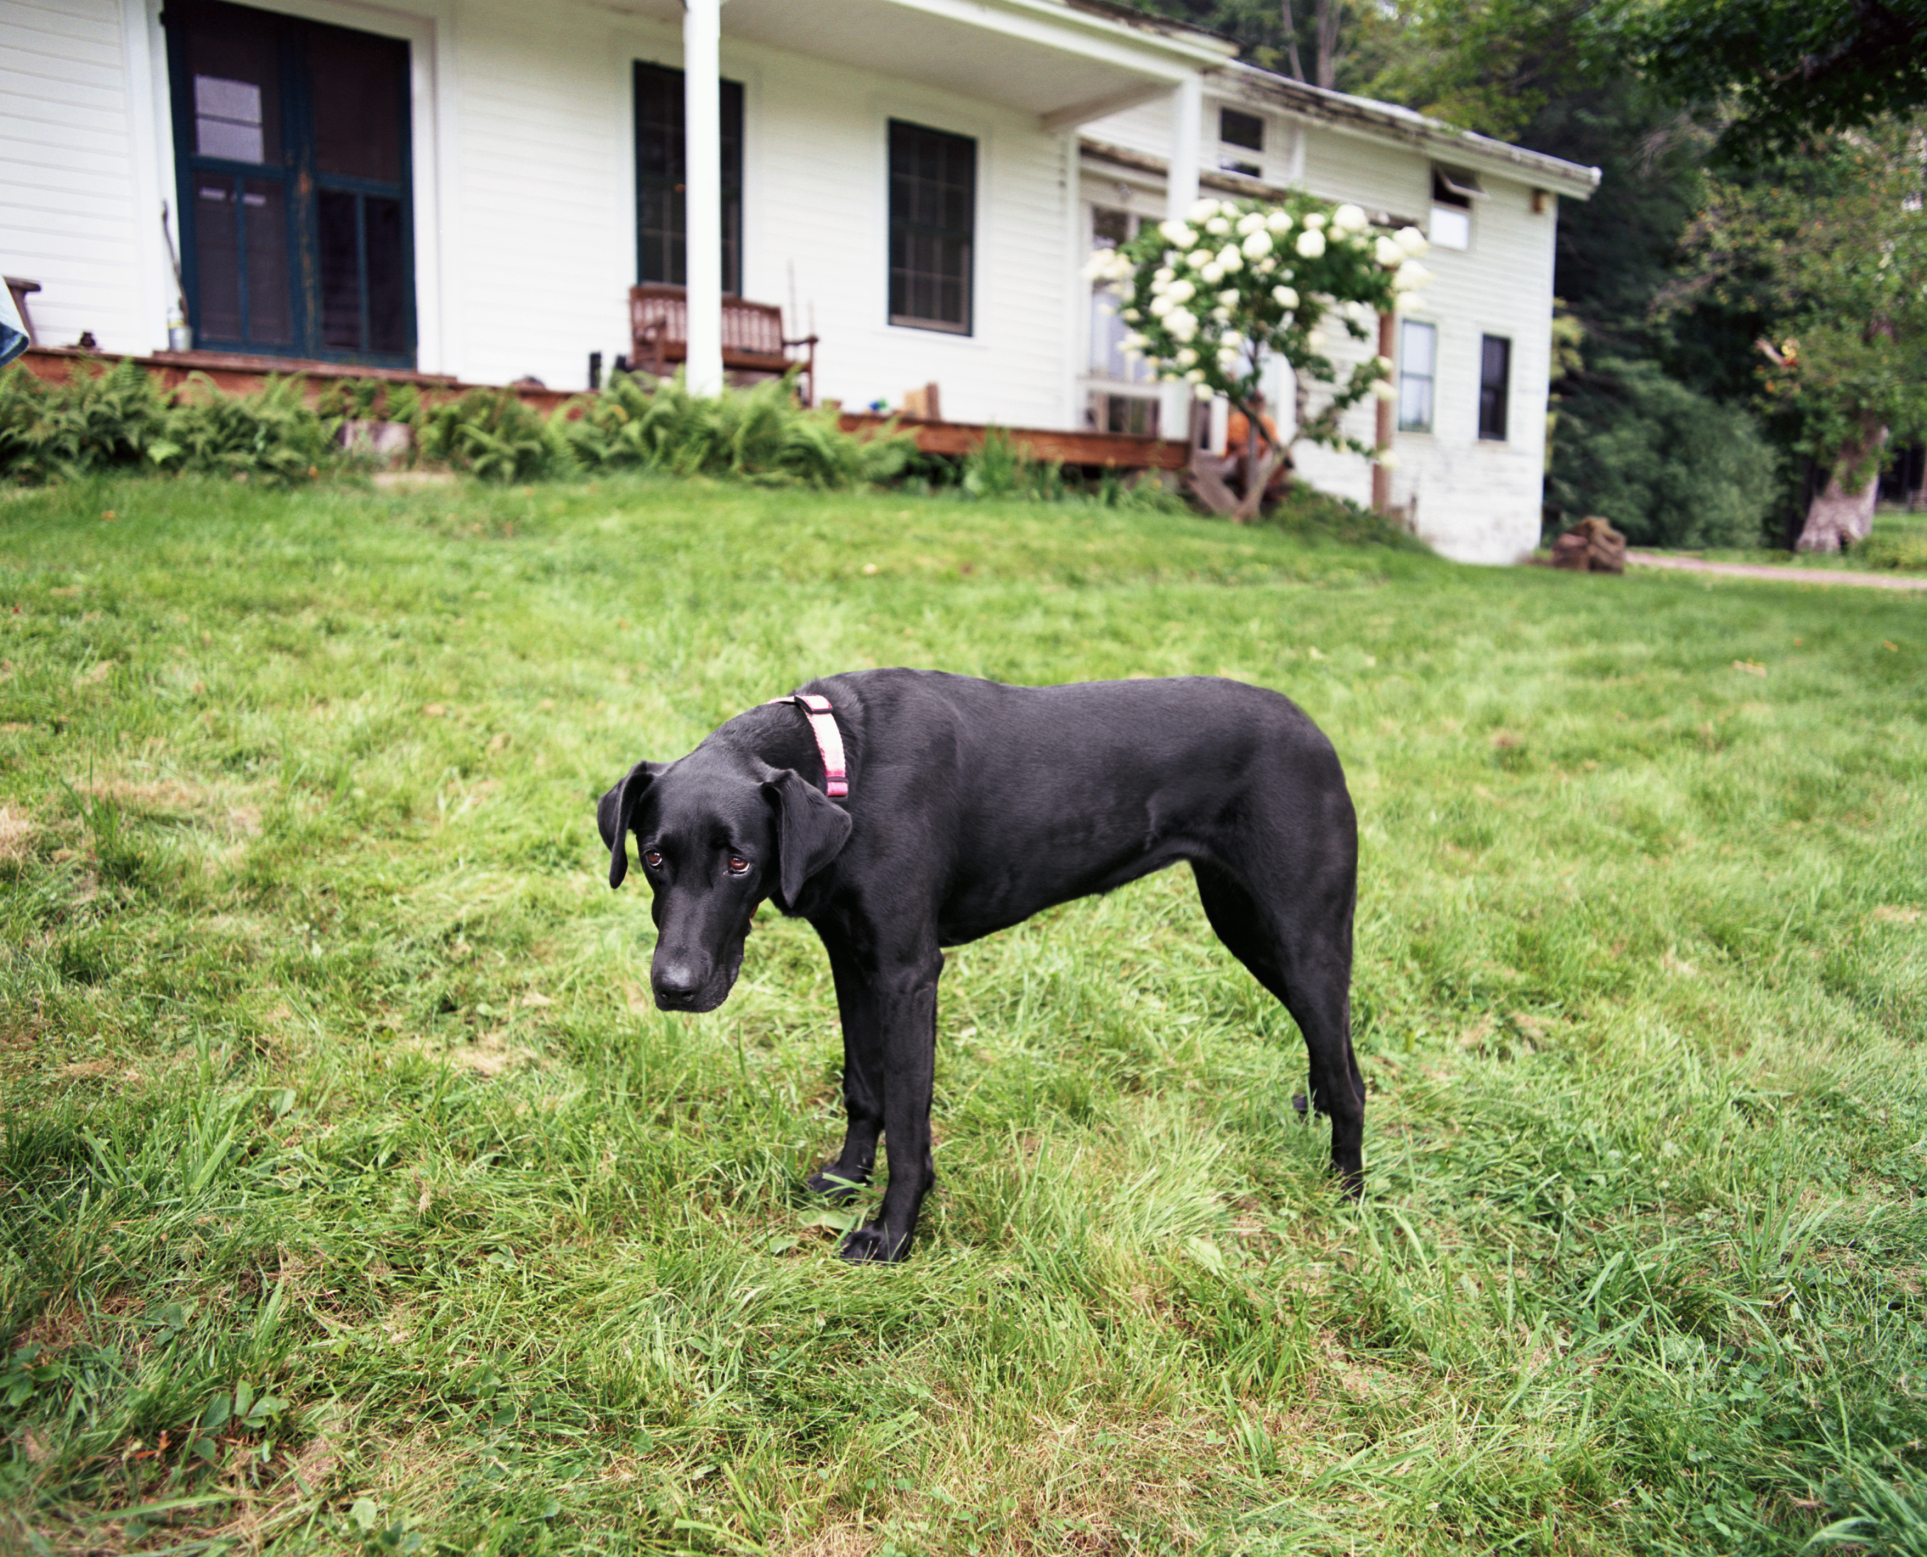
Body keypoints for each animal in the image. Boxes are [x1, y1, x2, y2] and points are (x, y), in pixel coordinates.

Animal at [593, 670, 1364, 1264]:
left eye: (739, 861)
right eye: (654, 857)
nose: (675, 987)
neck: (843, 765)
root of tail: (1315, 730)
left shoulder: (907, 973)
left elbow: (909, 1124)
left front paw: (891, 1235)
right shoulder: (852, 959)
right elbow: (863, 1086)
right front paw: (846, 1177)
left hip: (1299, 936)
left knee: (1349, 1076)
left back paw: (1346, 1195)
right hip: (1245, 925)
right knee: (1330, 1058)